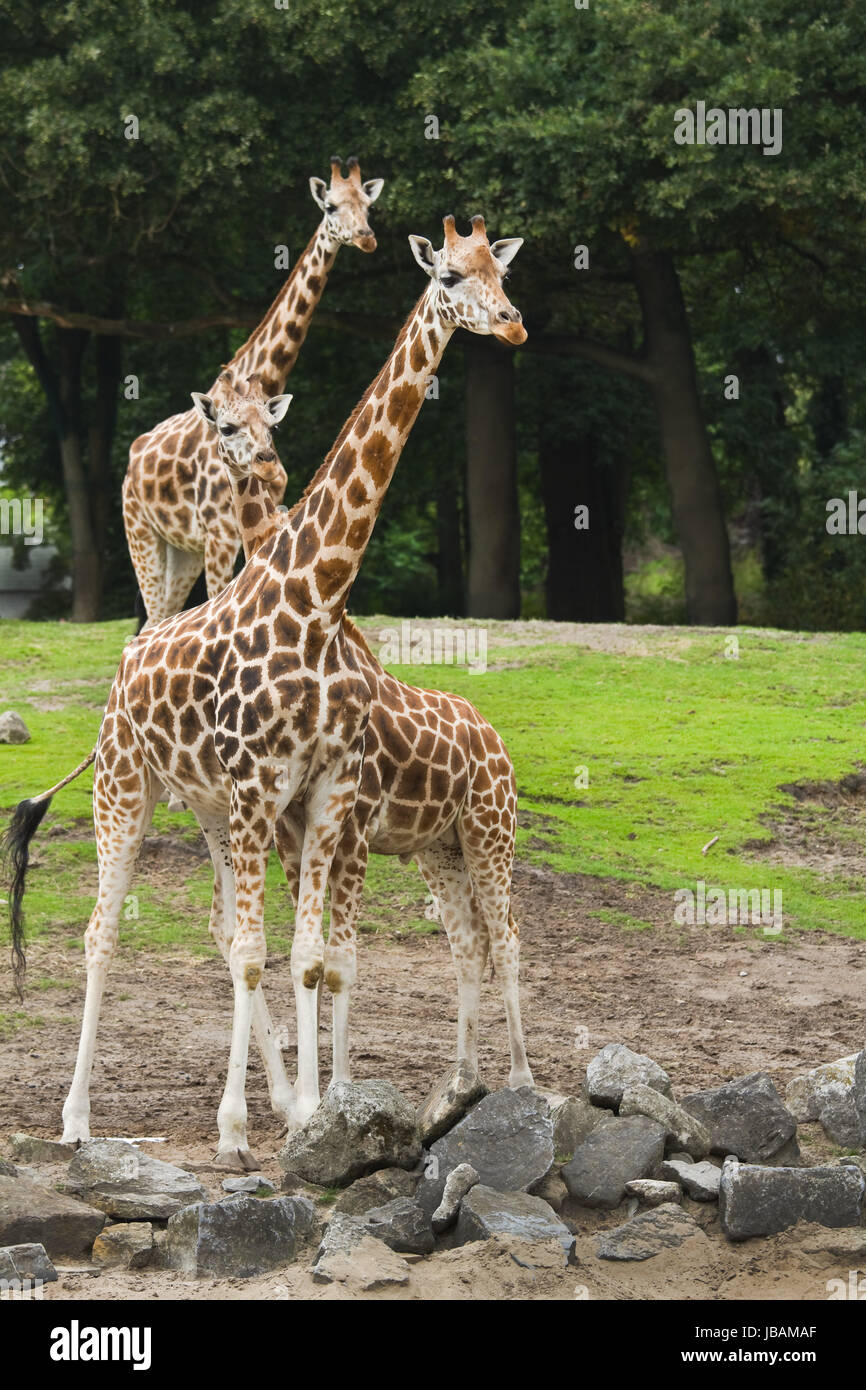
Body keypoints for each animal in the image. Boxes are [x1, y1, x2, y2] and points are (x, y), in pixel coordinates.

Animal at [122, 156, 384, 626]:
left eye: (368, 206)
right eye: (331, 207)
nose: (366, 237)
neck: (260, 378)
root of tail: (133, 459)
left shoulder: (257, 521)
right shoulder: (220, 533)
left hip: (182, 550)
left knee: (161, 615)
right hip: (143, 534)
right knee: (151, 618)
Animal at [199, 372, 532, 1098]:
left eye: (267, 422)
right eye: (225, 426)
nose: (268, 465)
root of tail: (497, 742)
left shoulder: (349, 827)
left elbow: (337, 961)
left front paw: (335, 1092)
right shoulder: (303, 832)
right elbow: (312, 953)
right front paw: (317, 1090)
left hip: (491, 832)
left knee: (508, 937)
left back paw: (522, 1079)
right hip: (440, 847)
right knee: (470, 943)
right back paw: (461, 1080)